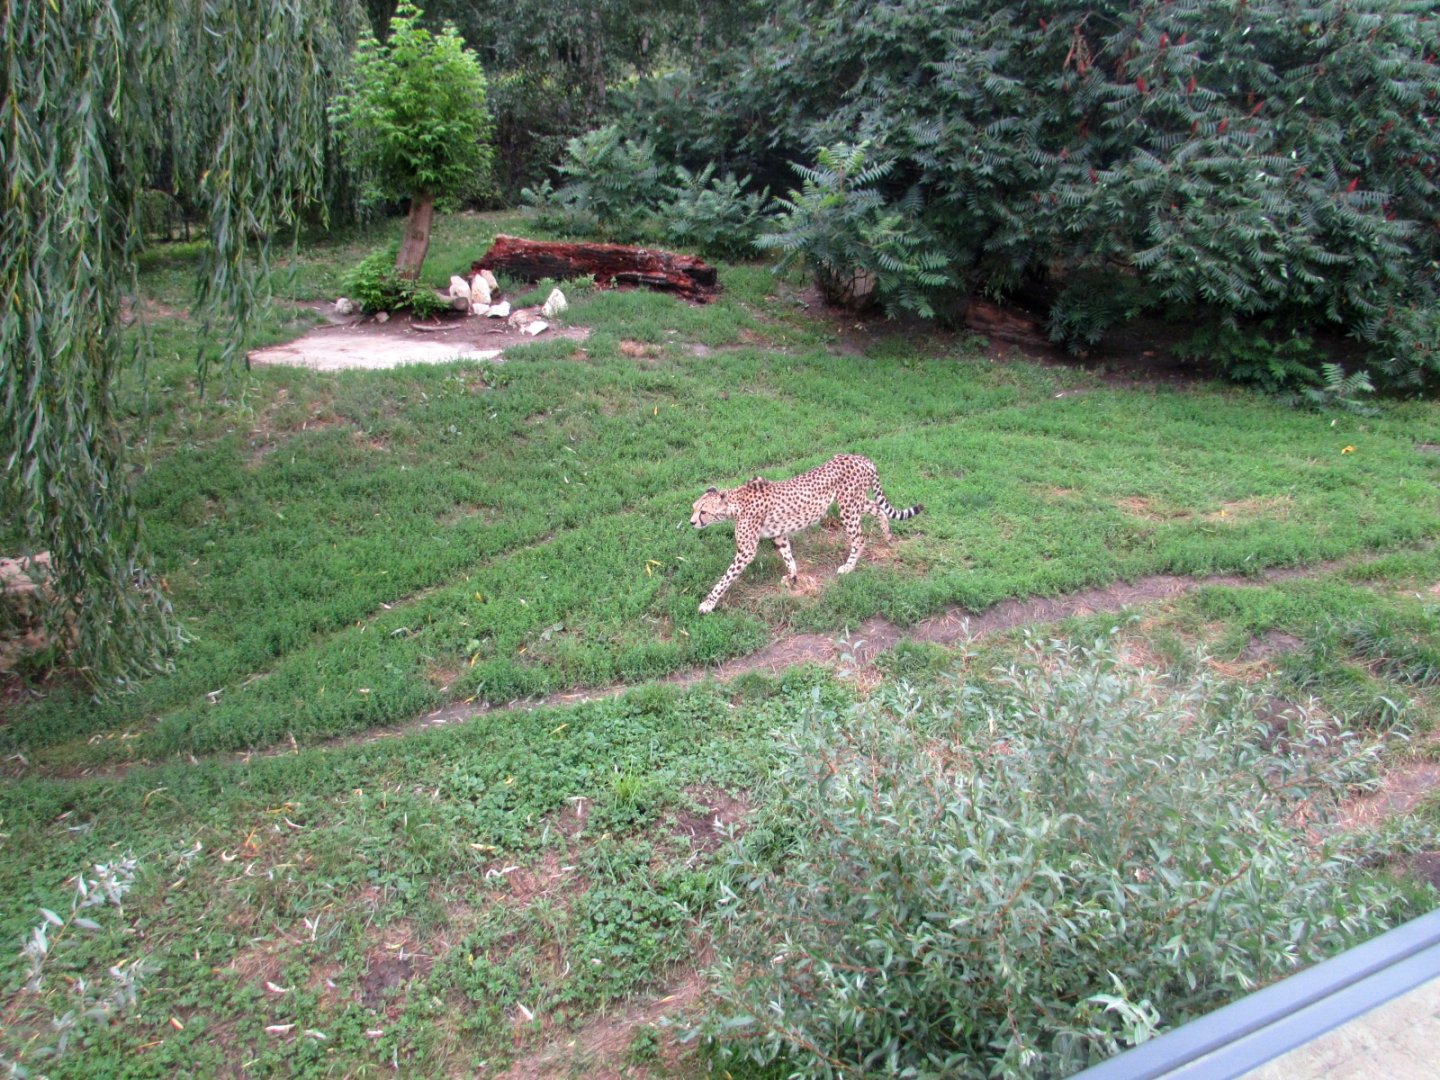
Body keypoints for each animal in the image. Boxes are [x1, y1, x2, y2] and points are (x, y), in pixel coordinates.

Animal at [690, 454, 923, 614]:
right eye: (693, 508)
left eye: (703, 511)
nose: (692, 522)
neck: (736, 504)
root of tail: (861, 458)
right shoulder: (779, 534)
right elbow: (788, 555)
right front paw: (793, 578)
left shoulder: (746, 551)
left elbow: (725, 578)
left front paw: (708, 603)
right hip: (856, 502)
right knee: (878, 508)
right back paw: (888, 537)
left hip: (848, 506)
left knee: (859, 537)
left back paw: (849, 567)